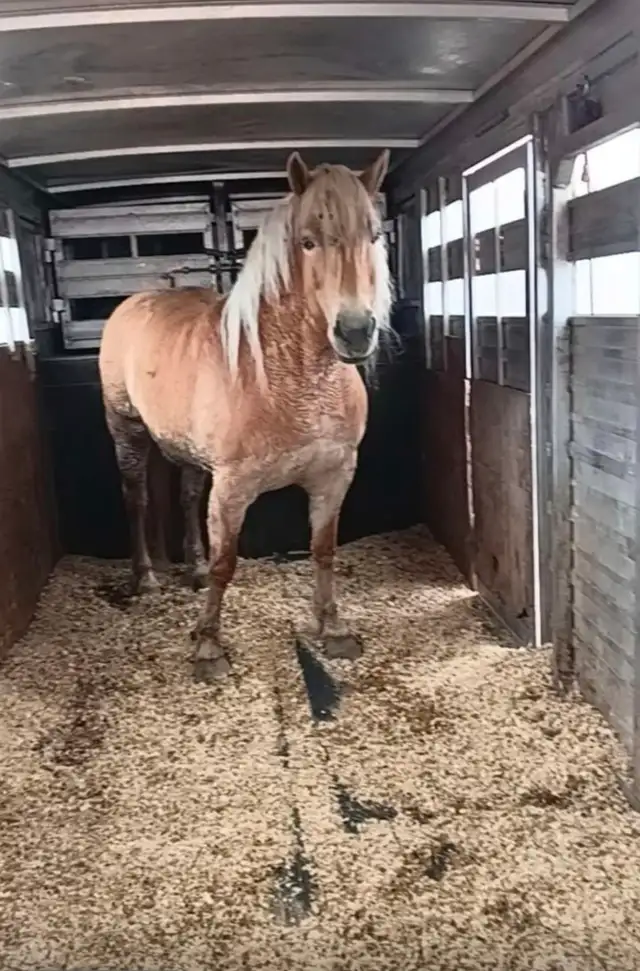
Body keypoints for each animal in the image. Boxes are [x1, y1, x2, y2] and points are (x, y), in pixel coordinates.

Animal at [98, 149, 393, 683]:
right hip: (126, 431)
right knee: (138, 499)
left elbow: (323, 550)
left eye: (375, 235)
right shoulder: (233, 490)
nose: (356, 333)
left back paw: (189, 570)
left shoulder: (334, 476)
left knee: (184, 498)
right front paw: (208, 648)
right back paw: (146, 578)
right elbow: (226, 564)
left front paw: (333, 629)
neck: (292, 377)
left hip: (186, 452)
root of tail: (137, 300)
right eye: (307, 242)